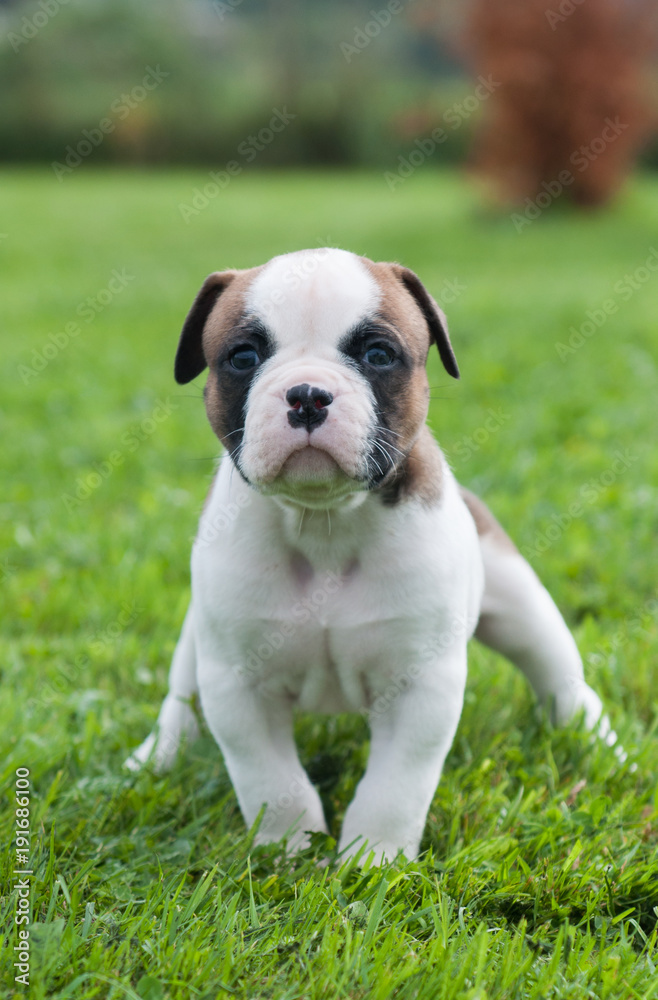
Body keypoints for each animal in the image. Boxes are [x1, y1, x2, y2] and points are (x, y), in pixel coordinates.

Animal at [125, 248, 612, 860]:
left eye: (379, 354)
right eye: (243, 357)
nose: (308, 395)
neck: (324, 523)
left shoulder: (419, 685)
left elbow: (395, 786)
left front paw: (374, 857)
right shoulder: (238, 684)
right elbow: (271, 779)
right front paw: (289, 848)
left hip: (520, 601)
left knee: (558, 674)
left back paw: (596, 742)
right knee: (180, 695)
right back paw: (157, 756)